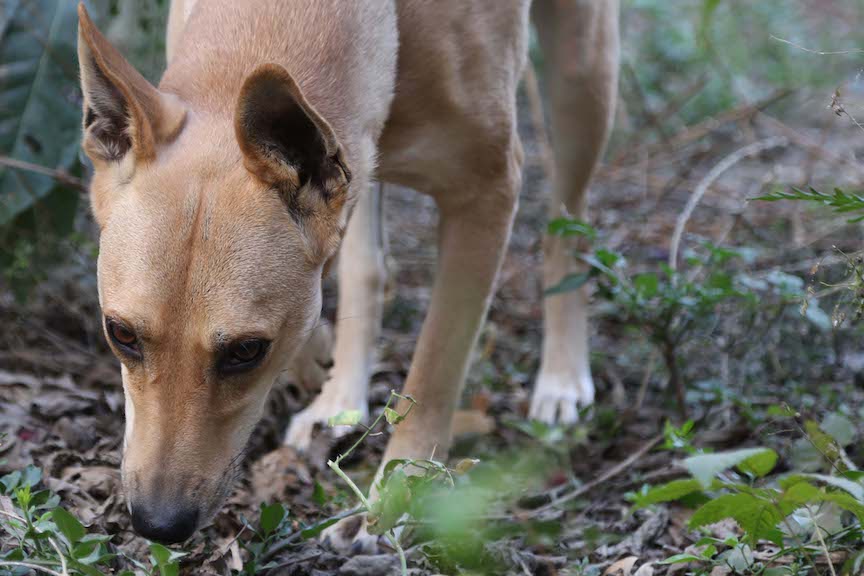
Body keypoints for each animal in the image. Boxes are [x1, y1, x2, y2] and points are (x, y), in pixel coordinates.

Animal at [76, 0, 616, 548]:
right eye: (120, 334)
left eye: (247, 351)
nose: (157, 524)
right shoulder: (354, 170)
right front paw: (321, 366)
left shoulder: (487, 192)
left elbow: (435, 367)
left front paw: (399, 489)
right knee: (367, 270)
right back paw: (340, 400)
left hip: (582, 77)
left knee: (567, 230)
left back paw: (562, 378)